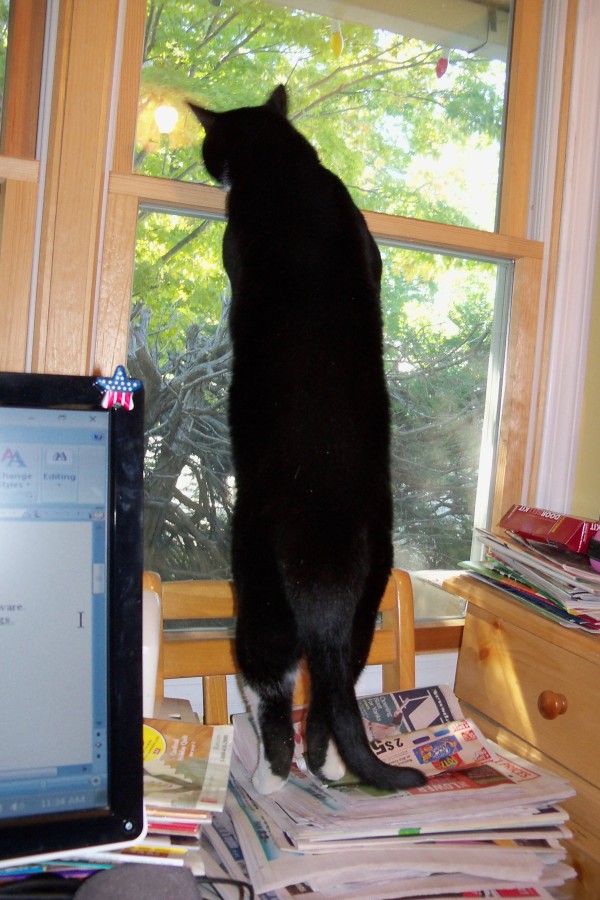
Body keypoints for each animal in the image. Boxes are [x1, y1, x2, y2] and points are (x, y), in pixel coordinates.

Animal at [191, 84, 426, 796]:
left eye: (210, 143)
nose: (210, 166)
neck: (285, 169)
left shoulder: (236, 241)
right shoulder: (366, 240)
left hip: (260, 604)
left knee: (272, 694)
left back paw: (271, 777)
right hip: (366, 611)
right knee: (329, 697)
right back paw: (327, 768)